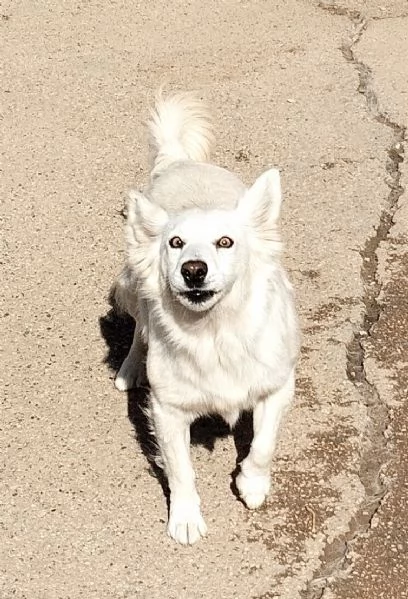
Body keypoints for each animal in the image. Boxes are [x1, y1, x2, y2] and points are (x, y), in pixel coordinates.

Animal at [114, 92, 300, 544]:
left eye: (225, 242)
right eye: (176, 243)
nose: (193, 270)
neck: (215, 332)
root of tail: (179, 161)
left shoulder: (277, 385)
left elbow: (264, 443)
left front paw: (252, 483)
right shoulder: (167, 410)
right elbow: (181, 469)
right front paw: (184, 518)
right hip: (132, 286)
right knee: (140, 330)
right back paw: (130, 368)